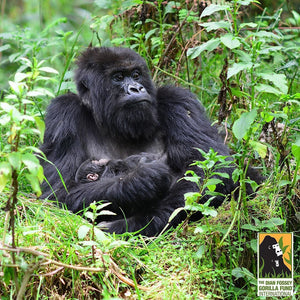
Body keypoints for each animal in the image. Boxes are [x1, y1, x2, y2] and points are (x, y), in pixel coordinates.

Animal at [39, 46, 254, 237]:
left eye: (136, 75)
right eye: (118, 77)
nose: (136, 88)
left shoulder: (178, 100)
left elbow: (213, 168)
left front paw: (139, 222)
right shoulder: (62, 113)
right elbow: (55, 194)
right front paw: (139, 182)